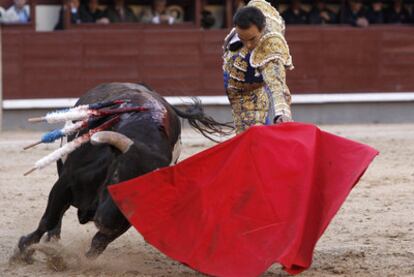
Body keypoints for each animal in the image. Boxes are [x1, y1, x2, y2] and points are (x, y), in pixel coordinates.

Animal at [17, 82, 231, 258]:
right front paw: (23, 251)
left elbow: (98, 243)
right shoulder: (65, 183)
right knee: (56, 219)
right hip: (61, 166)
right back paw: (52, 241)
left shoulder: (127, 218)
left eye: (145, 196)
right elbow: (48, 219)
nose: (105, 223)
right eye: (116, 175)